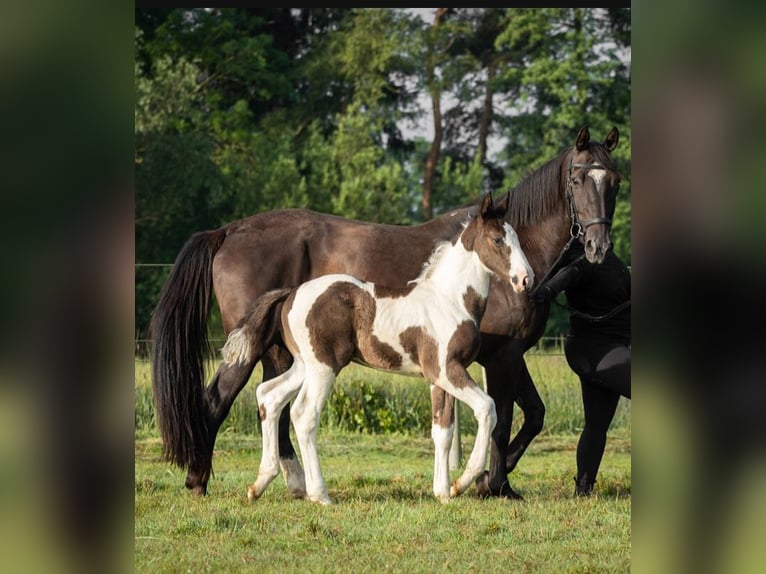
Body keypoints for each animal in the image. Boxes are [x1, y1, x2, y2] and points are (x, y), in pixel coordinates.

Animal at [222, 194, 536, 504]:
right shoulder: (447, 370)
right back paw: (319, 494)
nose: (526, 279)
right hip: (324, 368)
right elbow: (487, 408)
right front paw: (463, 482)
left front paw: (443, 493)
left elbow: (442, 431)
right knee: (304, 414)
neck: (449, 299)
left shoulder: (437, 379)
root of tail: (291, 293)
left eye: (517, 238)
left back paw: (260, 483)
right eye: (498, 239)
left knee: (269, 396)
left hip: (304, 365)